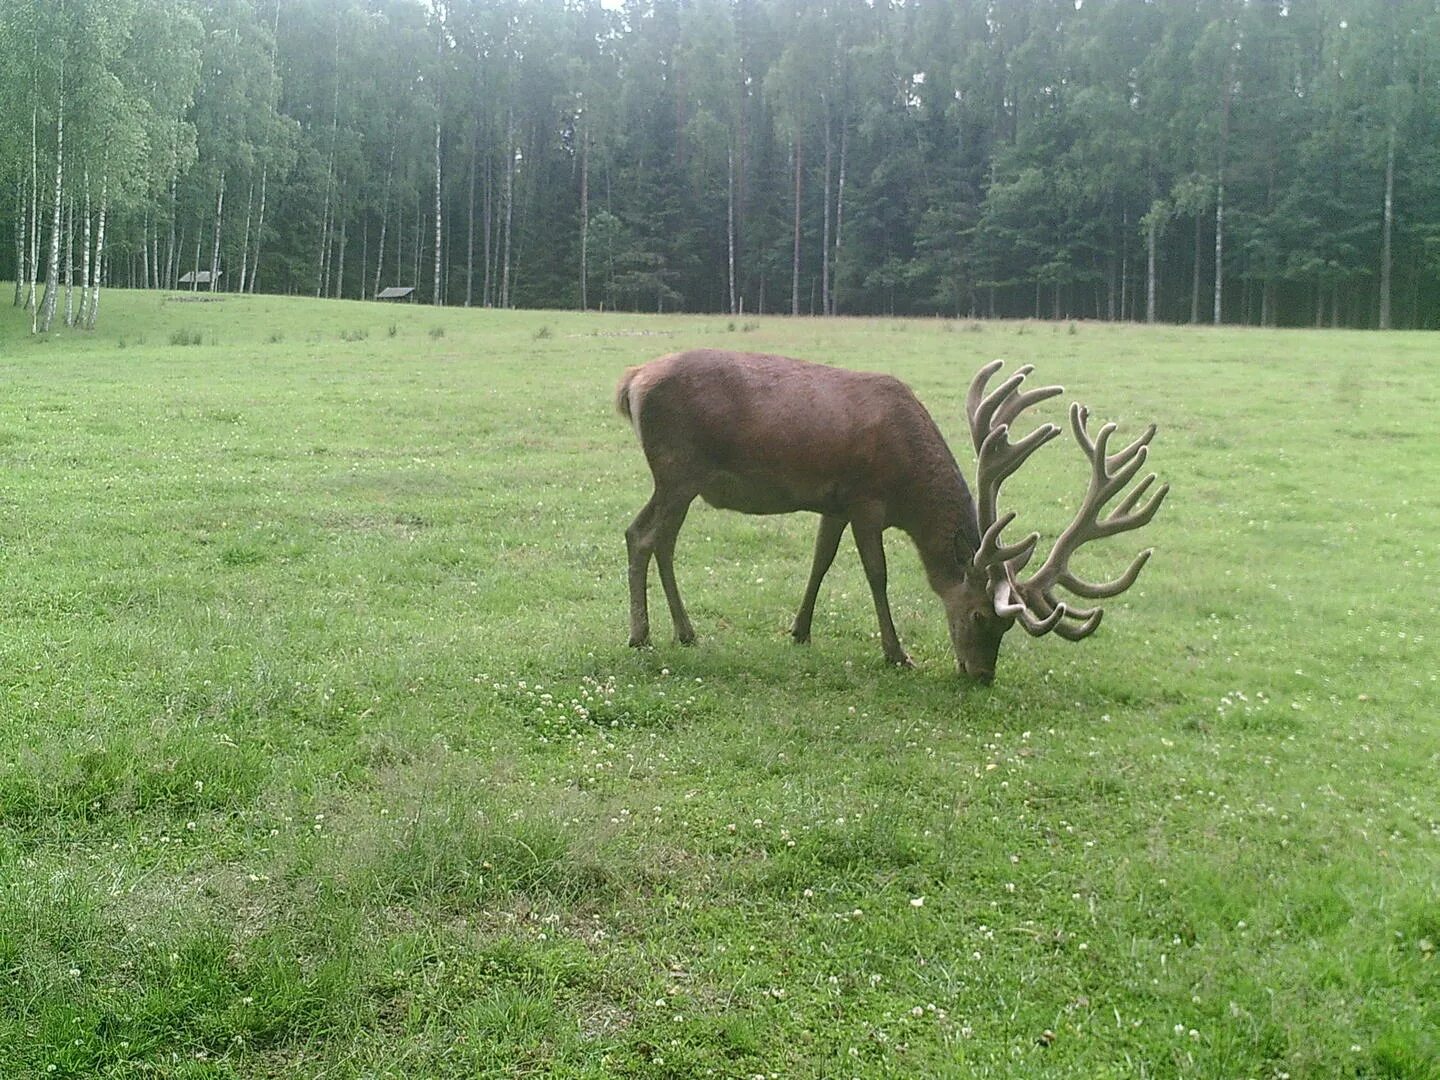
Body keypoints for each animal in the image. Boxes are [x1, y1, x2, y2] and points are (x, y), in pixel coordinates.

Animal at [616, 348, 1169, 685]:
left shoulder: (835, 503)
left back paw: (685, 631)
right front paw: (897, 653)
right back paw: (642, 635)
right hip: (678, 469)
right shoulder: (866, 501)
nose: (981, 675)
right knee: (641, 534)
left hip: (682, 482)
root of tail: (631, 381)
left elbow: (820, 561)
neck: (908, 484)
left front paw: (800, 630)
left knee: (662, 540)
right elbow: (876, 575)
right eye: (981, 616)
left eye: (1007, 630)